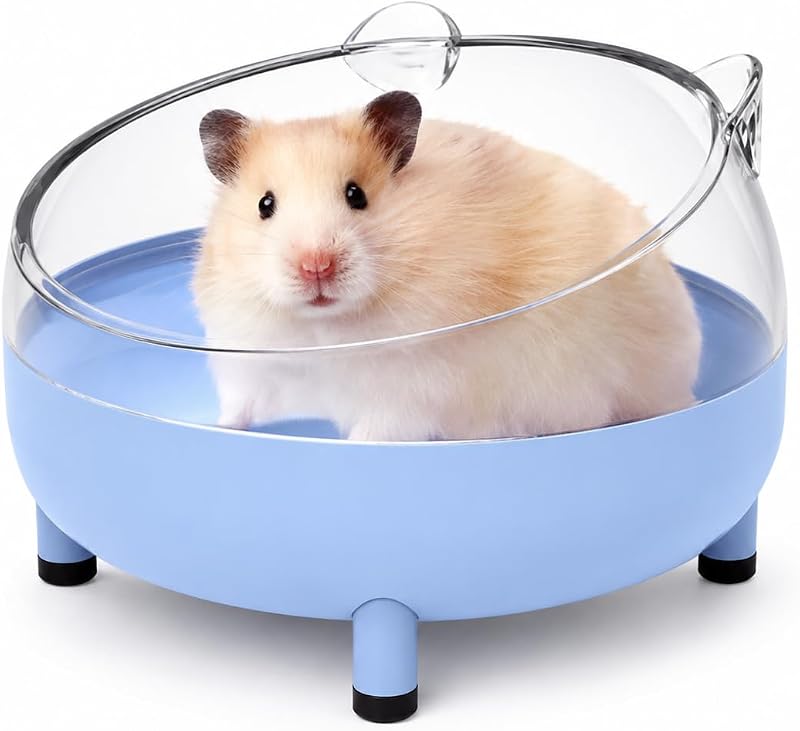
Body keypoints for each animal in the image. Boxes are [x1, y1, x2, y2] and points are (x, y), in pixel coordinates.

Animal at [193, 91, 701, 441]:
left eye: (356, 195)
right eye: (265, 204)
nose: (315, 266)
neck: (322, 330)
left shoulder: (411, 391)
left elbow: (374, 432)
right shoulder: (247, 363)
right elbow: (238, 407)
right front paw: (217, 430)